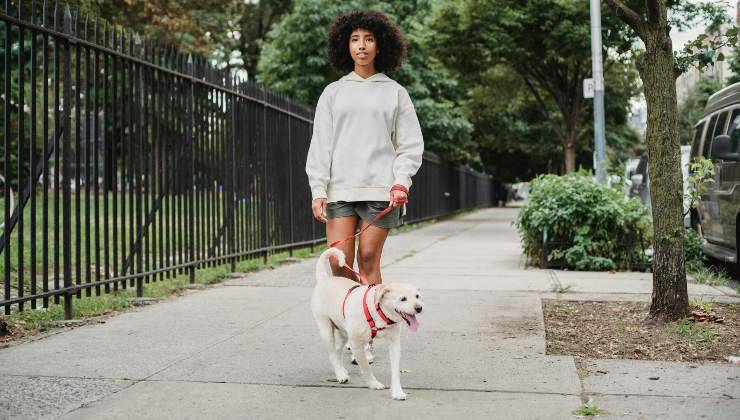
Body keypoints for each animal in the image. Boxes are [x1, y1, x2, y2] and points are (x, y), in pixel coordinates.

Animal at [310, 248, 422, 398]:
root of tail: (325, 279)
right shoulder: (357, 344)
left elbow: (395, 370)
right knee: (332, 353)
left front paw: (397, 392)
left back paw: (341, 370)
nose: (419, 308)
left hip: (343, 332)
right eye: (403, 299)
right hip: (327, 330)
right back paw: (340, 375)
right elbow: (366, 368)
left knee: (337, 350)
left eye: (417, 296)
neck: (378, 312)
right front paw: (374, 384)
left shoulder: (394, 343)